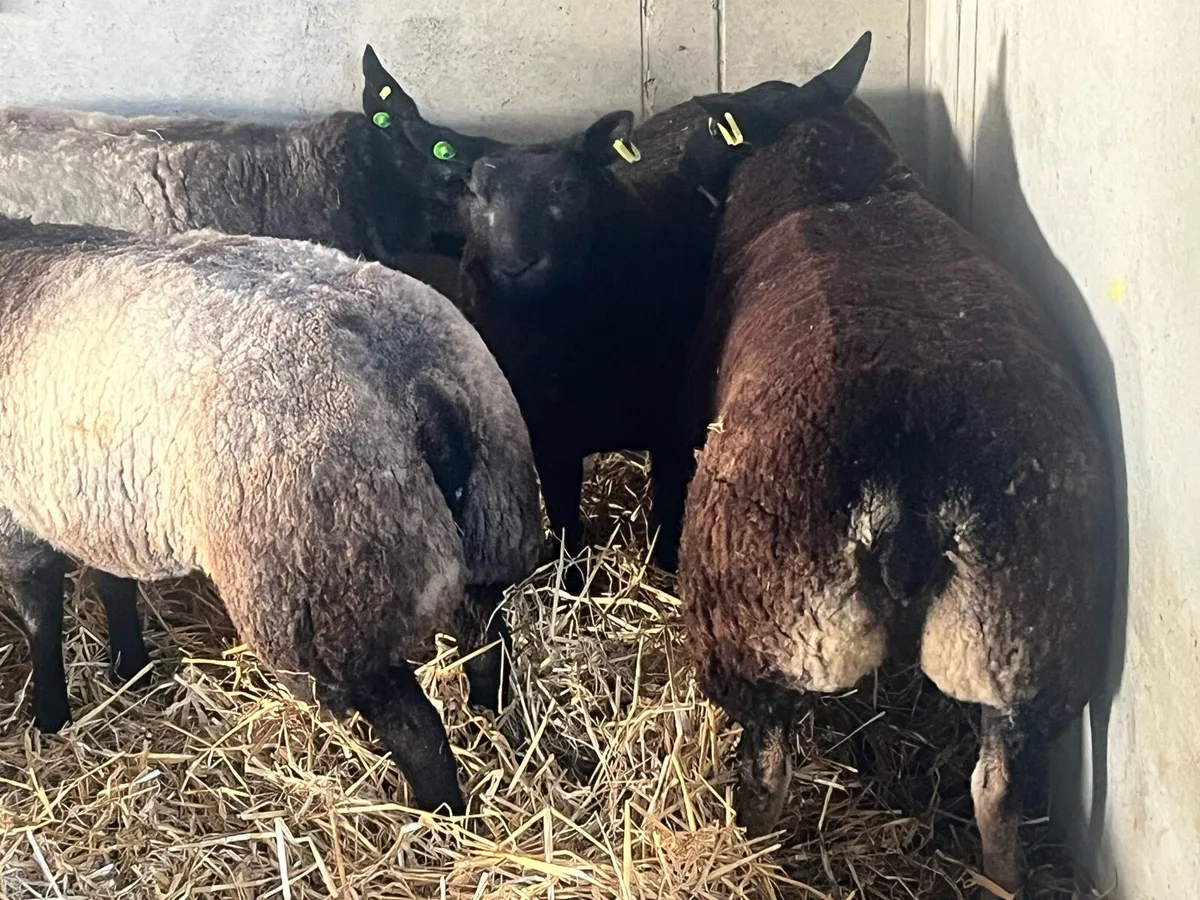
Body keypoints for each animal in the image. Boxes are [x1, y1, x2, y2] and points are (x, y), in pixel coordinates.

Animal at [0, 215, 542, 814]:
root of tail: (414, 381)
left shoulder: (18, 523)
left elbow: (40, 616)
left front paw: (50, 716)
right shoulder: (100, 505)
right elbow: (113, 584)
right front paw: (131, 670)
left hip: (329, 596)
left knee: (415, 729)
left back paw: (437, 817)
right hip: (490, 524)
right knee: (488, 645)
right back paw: (495, 725)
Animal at [672, 32, 1116, 895]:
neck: (846, 191)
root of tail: (913, 494)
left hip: (751, 633)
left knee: (767, 771)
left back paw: (754, 852)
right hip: (1027, 644)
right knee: (997, 788)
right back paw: (1002, 875)